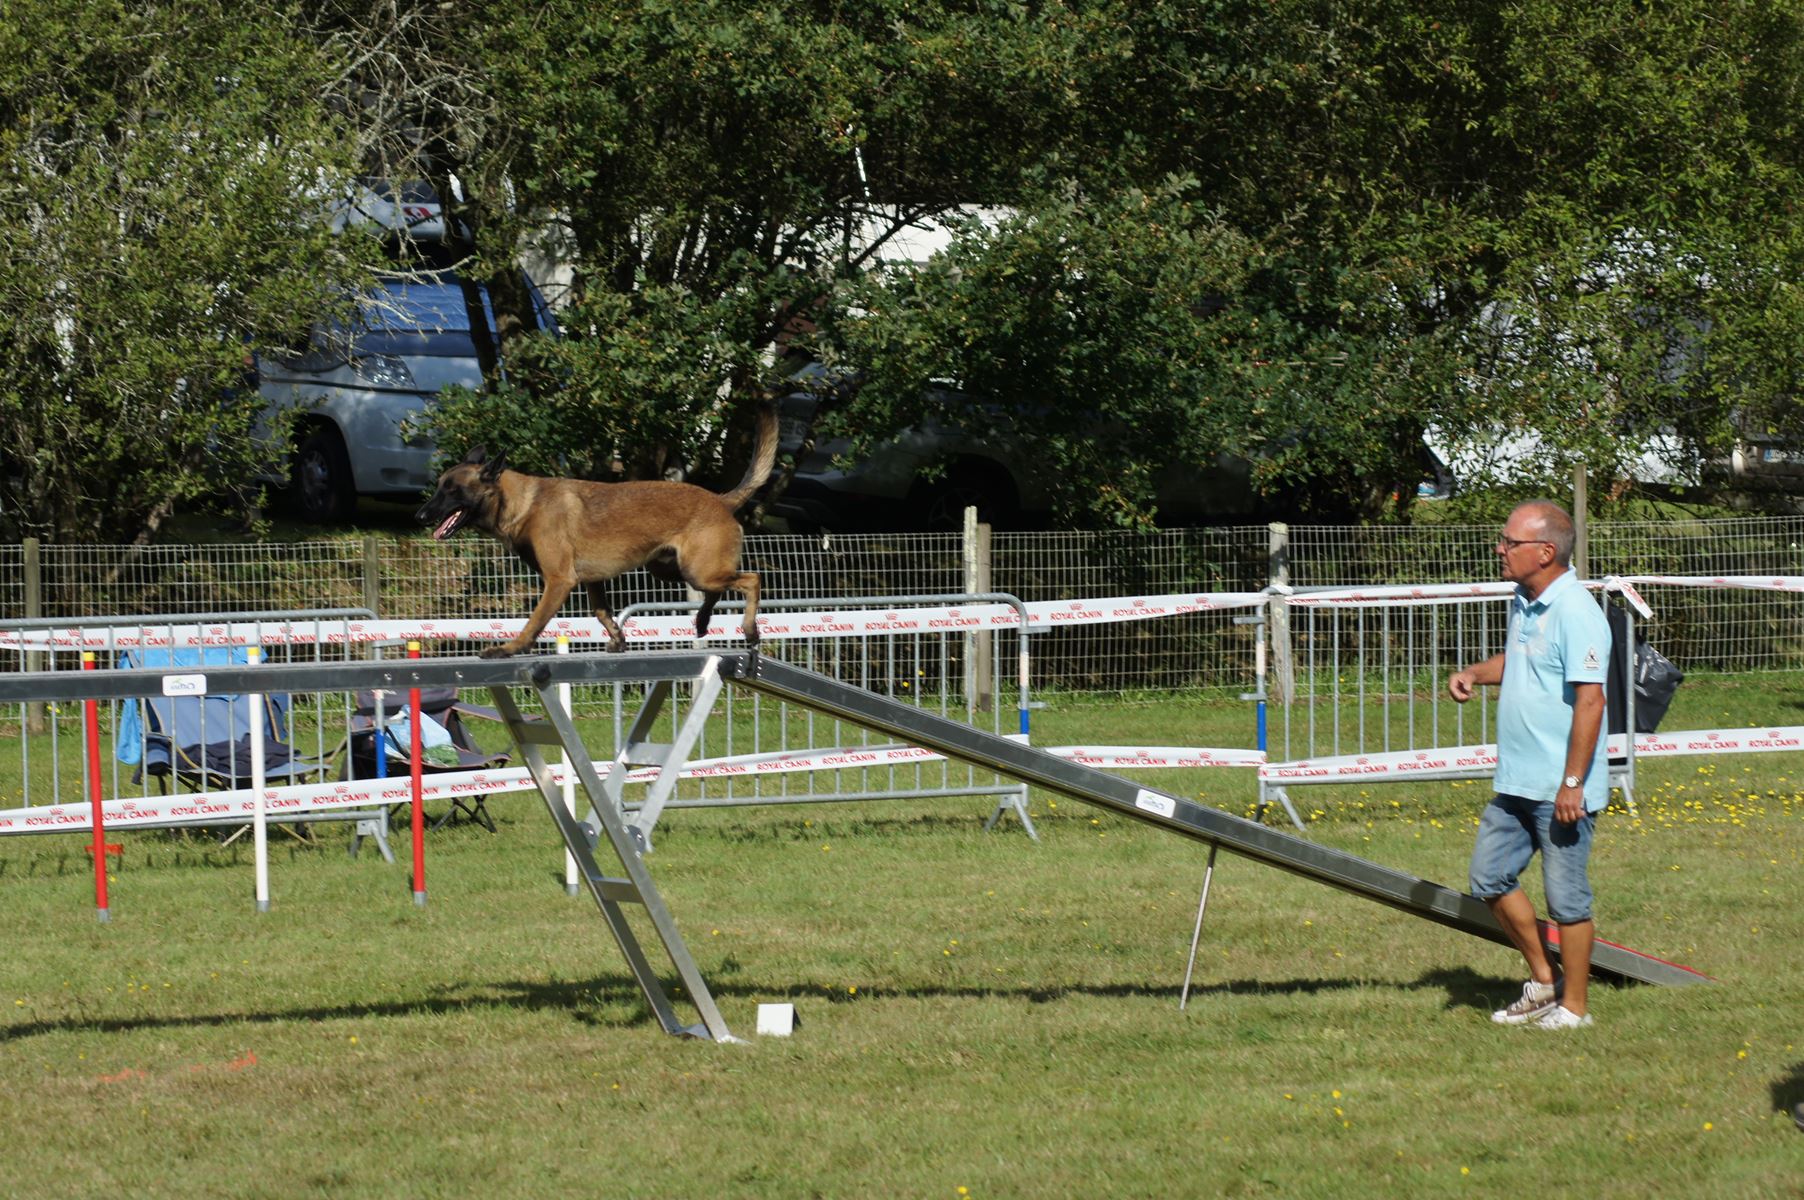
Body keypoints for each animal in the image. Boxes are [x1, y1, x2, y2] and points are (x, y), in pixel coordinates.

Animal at [418, 409, 779, 656]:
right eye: (438, 487)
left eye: (452, 490)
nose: (421, 515)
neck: (522, 502)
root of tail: (721, 499)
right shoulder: (593, 580)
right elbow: (601, 611)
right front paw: (617, 638)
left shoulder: (559, 581)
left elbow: (534, 621)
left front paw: (510, 648)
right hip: (671, 569)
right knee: (717, 591)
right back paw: (703, 621)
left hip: (699, 570)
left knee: (752, 578)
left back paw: (749, 629)